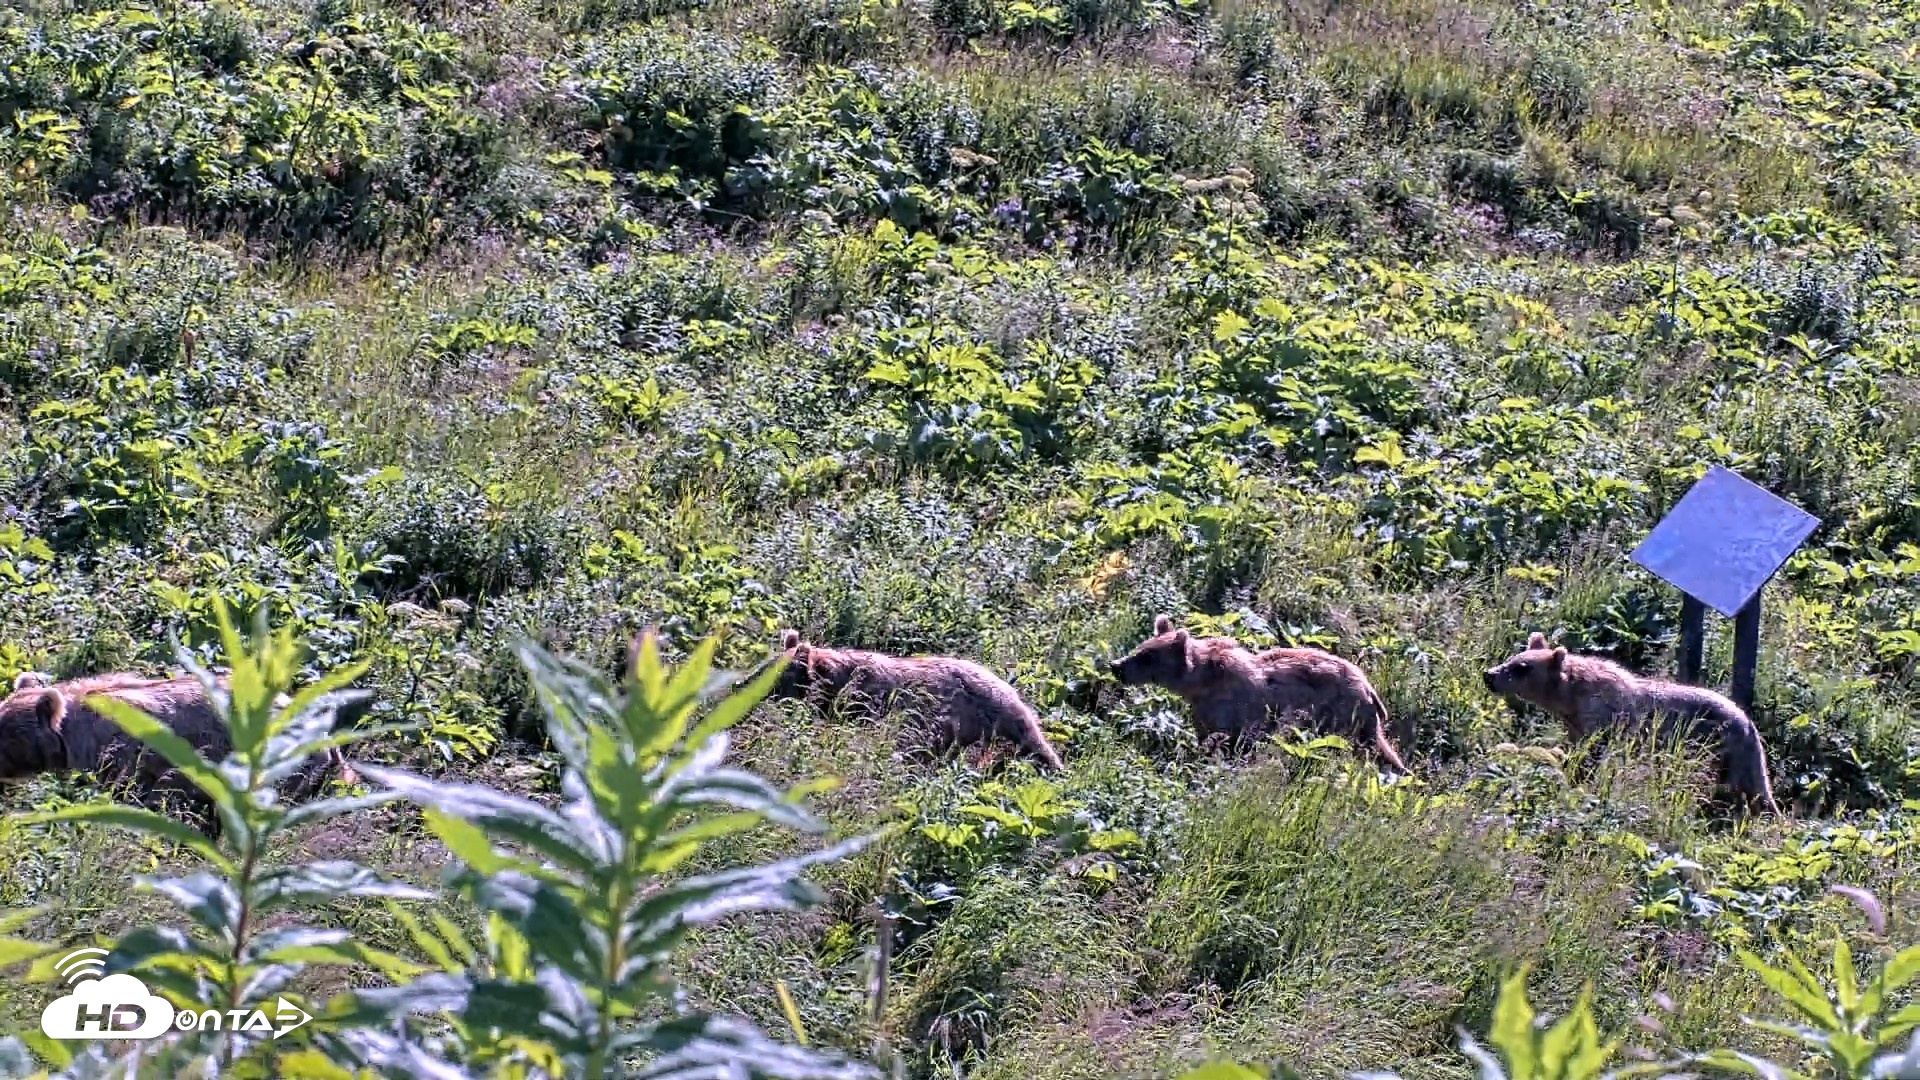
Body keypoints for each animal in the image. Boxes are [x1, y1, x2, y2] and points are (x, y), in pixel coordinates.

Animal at [1107, 615, 1410, 773]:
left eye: (1147, 657)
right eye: (1140, 647)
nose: (1116, 666)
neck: (1200, 683)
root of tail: (1369, 688)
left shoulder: (1236, 711)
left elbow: (1230, 742)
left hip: (1343, 717)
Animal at [1481, 632, 1782, 816]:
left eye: (1522, 668)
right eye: (1512, 659)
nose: (1489, 675)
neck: (1571, 699)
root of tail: (1750, 724)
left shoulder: (1607, 720)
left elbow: (1596, 757)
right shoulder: (1577, 725)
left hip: (1717, 748)